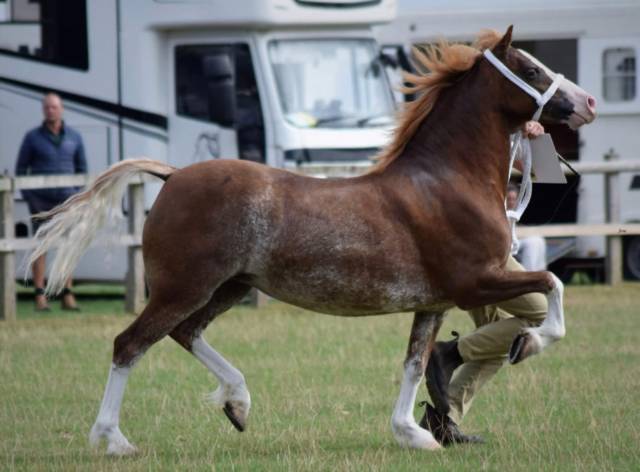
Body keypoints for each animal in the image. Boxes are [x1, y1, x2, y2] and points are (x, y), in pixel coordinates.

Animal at [31, 26, 596, 455]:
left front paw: (413, 434)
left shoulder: (434, 303)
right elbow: (552, 286)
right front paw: (530, 342)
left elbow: (414, 364)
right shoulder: (476, 282)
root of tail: (172, 175)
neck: (446, 180)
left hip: (229, 287)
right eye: (530, 70)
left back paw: (238, 403)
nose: (588, 102)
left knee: (184, 334)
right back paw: (114, 440)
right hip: (184, 287)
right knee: (130, 345)